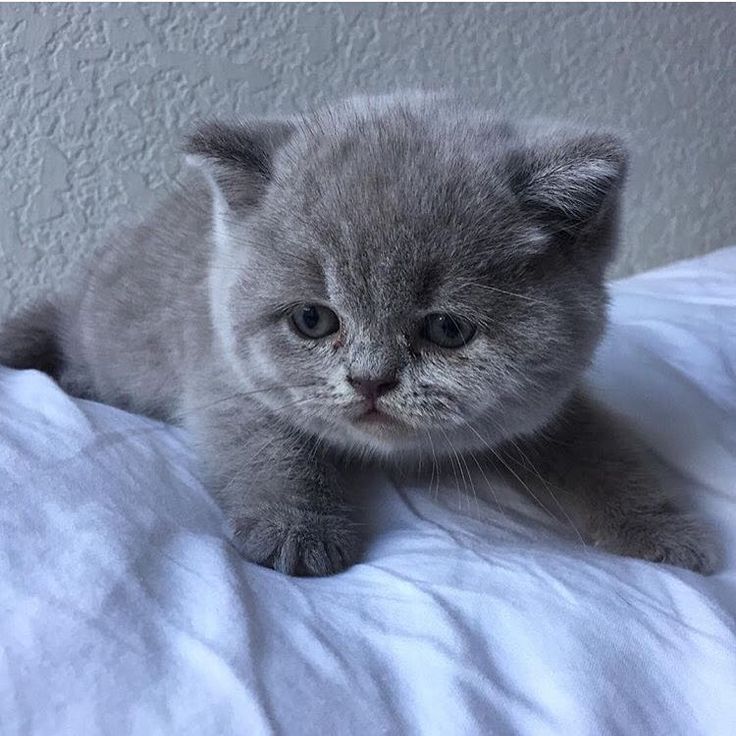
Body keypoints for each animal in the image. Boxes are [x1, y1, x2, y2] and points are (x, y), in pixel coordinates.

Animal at [0, 93, 712, 576]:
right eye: (313, 320)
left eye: (447, 329)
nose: (371, 380)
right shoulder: (224, 372)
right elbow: (263, 443)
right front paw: (296, 528)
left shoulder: (545, 404)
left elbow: (603, 448)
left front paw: (664, 530)